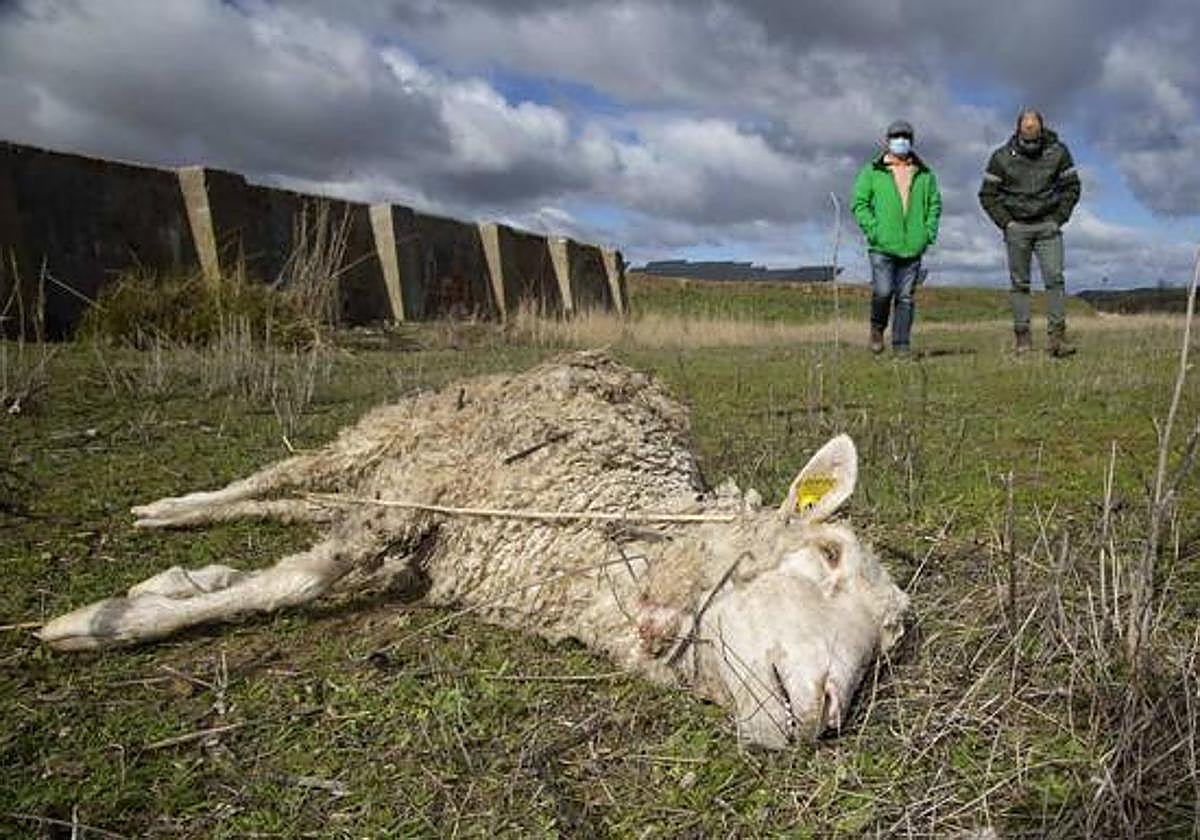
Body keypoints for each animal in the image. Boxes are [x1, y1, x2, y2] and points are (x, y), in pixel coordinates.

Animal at [38, 351, 909, 748]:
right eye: (829, 555)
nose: (827, 712)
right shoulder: (417, 498)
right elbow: (298, 581)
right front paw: (103, 623)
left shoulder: (421, 533)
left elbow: (300, 567)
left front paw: (174, 588)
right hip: (383, 441)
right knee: (271, 477)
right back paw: (169, 511)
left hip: (376, 472)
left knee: (292, 501)